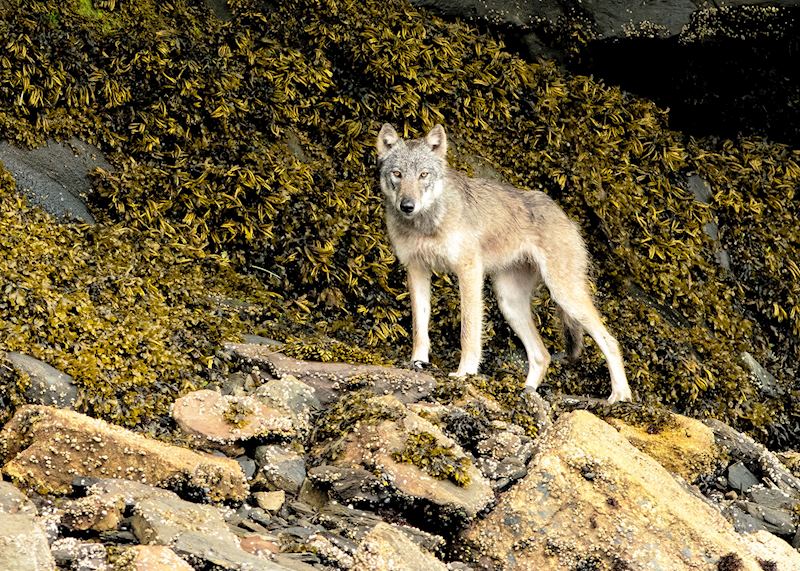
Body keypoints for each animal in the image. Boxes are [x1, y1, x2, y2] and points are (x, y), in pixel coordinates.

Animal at [376, 123, 632, 404]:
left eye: (423, 175)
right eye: (398, 174)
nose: (407, 205)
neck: (425, 224)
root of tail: (565, 216)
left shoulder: (469, 271)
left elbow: (469, 331)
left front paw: (465, 373)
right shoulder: (417, 269)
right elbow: (419, 326)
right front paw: (417, 363)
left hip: (564, 295)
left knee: (611, 341)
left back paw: (621, 396)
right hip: (509, 303)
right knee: (542, 355)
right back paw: (526, 393)